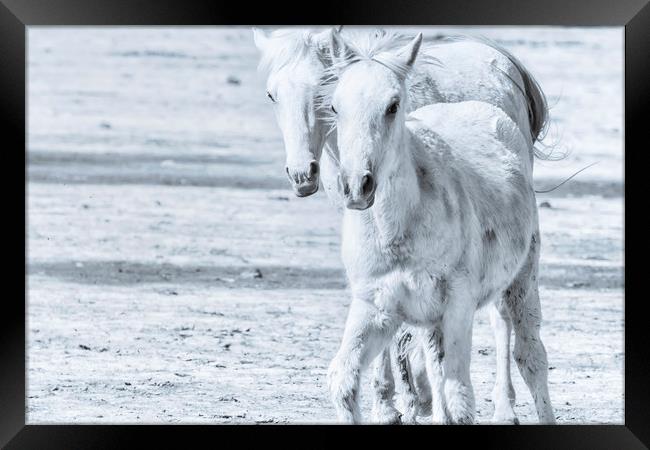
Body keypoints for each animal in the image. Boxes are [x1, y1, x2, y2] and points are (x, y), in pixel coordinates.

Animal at [252, 29, 548, 426]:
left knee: (516, 338)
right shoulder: (377, 298)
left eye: (393, 106)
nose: (302, 174)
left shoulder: (455, 301)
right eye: (272, 94)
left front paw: (404, 399)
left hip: (520, 275)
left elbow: (453, 384)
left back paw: (504, 406)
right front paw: (392, 403)